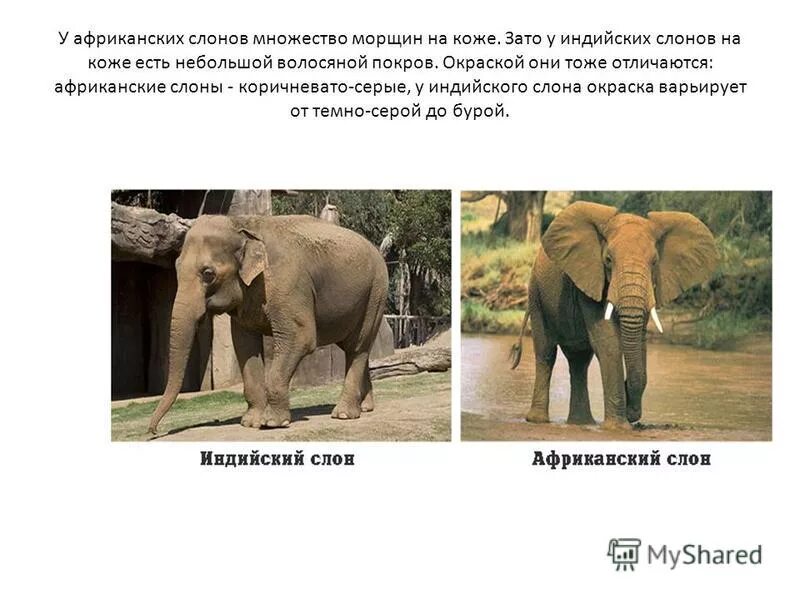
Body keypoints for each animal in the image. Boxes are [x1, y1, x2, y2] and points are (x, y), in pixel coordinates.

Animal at [148, 214, 389, 434]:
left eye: (208, 274)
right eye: (177, 268)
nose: (154, 431)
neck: (243, 224)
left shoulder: (288, 283)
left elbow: (300, 338)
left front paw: (272, 423)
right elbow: (244, 345)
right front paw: (250, 423)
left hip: (375, 292)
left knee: (358, 346)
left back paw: (344, 414)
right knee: (353, 348)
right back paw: (365, 407)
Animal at [511, 201, 718, 429]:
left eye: (655, 262)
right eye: (608, 260)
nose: (632, 410)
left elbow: (640, 341)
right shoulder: (591, 277)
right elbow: (609, 342)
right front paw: (618, 428)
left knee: (579, 361)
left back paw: (581, 423)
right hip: (536, 294)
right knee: (546, 352)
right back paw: (539, 421)